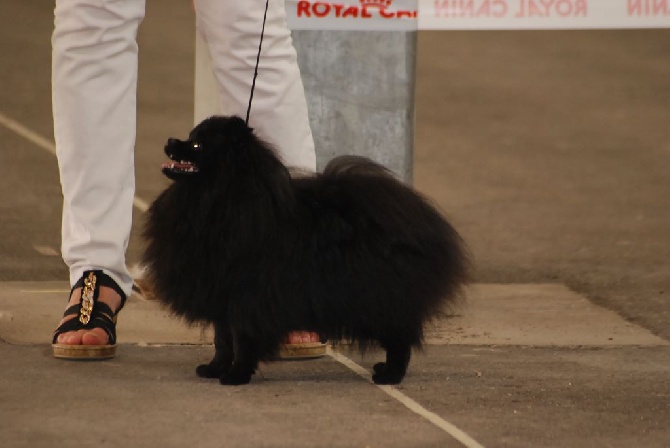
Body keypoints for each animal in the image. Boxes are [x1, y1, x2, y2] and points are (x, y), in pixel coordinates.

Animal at [144, 115, 470, 384]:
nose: (170, 141)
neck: (217, 199)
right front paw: (215, 369)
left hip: (382, 298)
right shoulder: (221, 295)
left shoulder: (247, 295)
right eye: (189, 136)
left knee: (400, 340)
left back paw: (390, 375)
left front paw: (237, 375)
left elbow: (243, 341)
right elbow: (222, 340)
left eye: (197, 144)